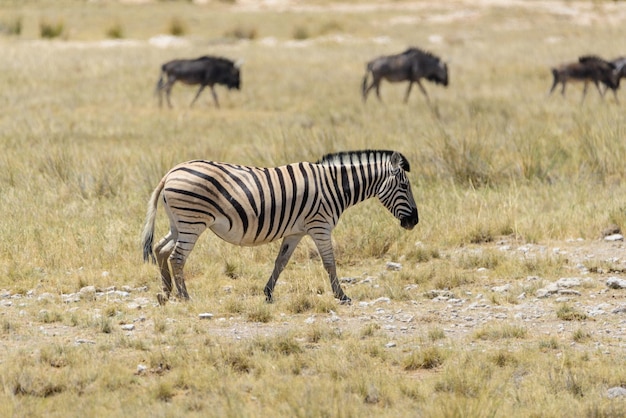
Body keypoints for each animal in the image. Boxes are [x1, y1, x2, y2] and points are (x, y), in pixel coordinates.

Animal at [140, 149, 414, 304]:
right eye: (405, 186)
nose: (415, 221)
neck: (334, 186)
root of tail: (170, 172)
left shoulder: (296, 231)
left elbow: (280, 262)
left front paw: (268, 293)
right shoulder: (320, 225)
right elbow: (330, 262)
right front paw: (342, 295)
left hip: (179, 222)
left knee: (160, 249)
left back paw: (165, 293)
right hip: (193, 221)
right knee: (176, 257)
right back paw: (185, 297)